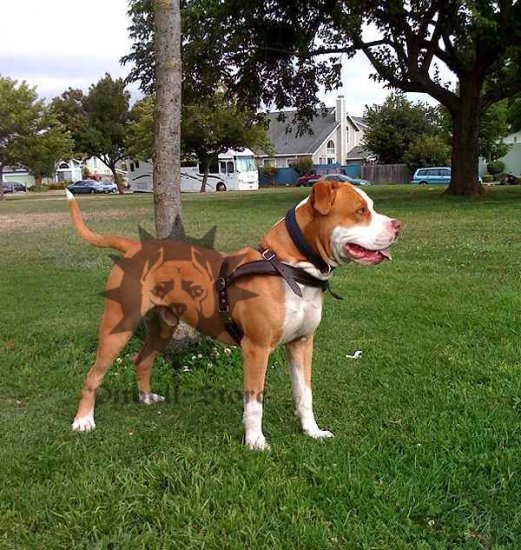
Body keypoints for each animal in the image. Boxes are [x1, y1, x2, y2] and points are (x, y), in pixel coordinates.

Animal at [65, 183, 398, 450]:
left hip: (162, 327)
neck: (290, 268)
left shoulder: (302, 344)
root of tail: (134, 246)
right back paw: (83, 420)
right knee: (93, 375)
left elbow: (305, 395)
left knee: (141, 361)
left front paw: (312, 432)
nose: (398, 225)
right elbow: (255, 402)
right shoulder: (257, 348)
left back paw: (146, 398)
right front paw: (255, 442)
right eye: (360, 211)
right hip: (117, 327)